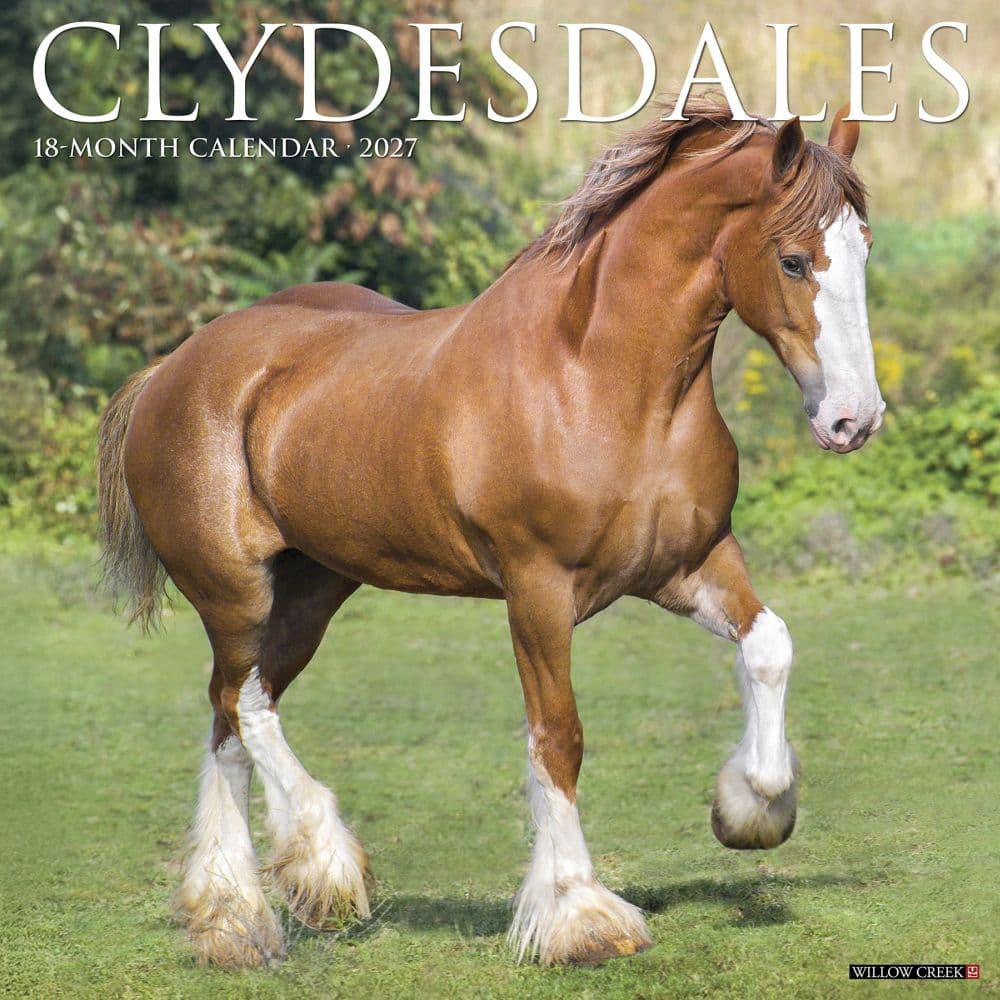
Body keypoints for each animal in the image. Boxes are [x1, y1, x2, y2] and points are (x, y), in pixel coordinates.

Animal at [97, 98, 884, 968]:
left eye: (864, 248)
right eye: (793, 261)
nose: (853, 419)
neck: (600, 381)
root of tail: (170, 369)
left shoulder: (690, 564)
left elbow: (769, 644)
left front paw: (751, 809)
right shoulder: (537, 590)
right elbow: (558, 738)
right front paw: (578, 914)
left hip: (310, 592)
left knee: (230, 715)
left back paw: (231, 918)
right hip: (233, 591)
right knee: (245, 703)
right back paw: (319, 865)